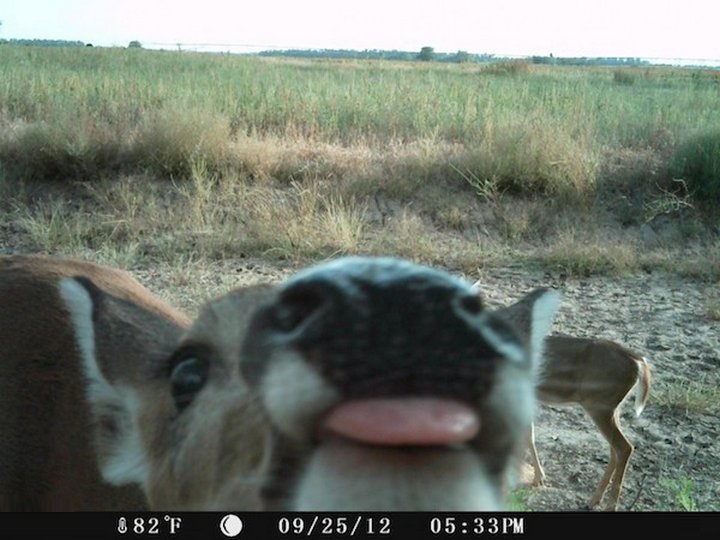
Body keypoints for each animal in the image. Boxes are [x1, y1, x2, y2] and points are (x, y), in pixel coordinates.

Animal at [529, 335, 652, 511]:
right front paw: (539, 478)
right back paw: (594, 500)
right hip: (612, 408)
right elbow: (529, 436)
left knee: (624, 447)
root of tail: (639, 361)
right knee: (615, 450)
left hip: (599, 405)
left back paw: (609, 506)